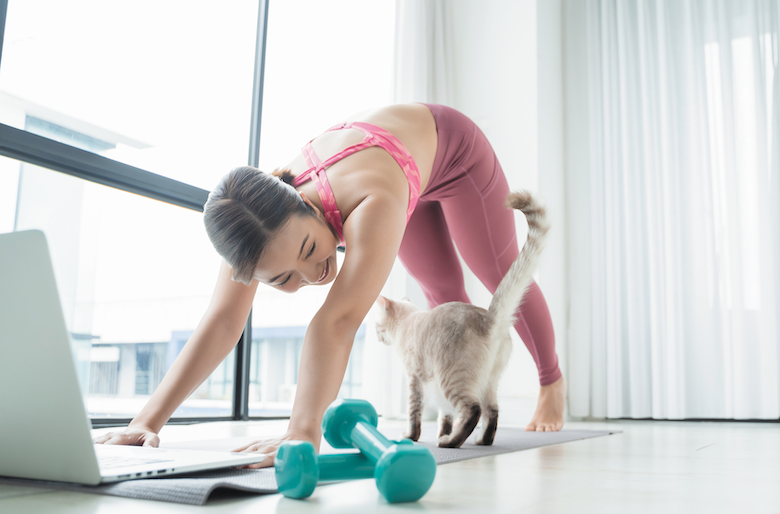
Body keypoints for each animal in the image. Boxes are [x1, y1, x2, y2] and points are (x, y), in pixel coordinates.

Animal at [374, 190, 548, 446]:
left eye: (376, 326)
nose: (377, 337)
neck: (407, 321)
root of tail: (488, 319)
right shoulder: (434, 391)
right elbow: (444, 417)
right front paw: (441, 431)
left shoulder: (414, 378)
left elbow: (414, 414)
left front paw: (412, 438)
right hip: (488, 382)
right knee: (492, 411)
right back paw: (481, 441)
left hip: (452, 380)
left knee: (473, 410)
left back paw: (449, 442)